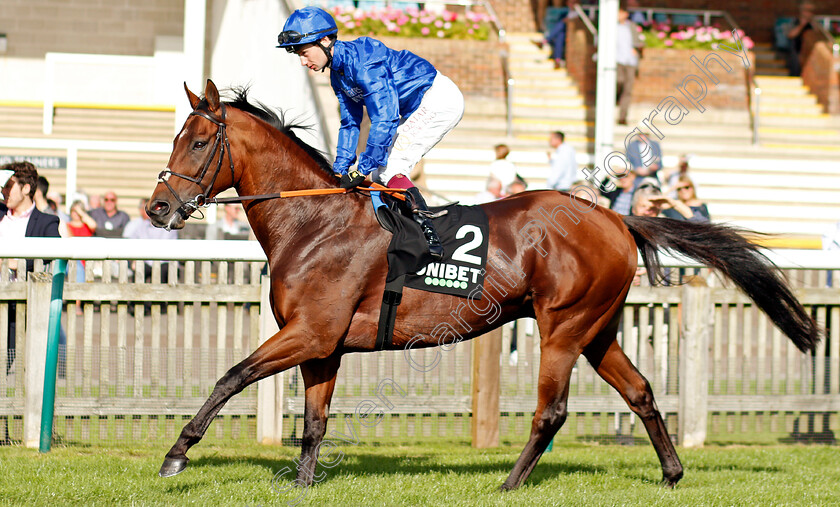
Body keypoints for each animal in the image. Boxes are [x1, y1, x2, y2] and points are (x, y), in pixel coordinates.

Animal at [148, 80, 816, 492]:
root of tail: (614, 216)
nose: (157, 208)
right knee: (642, 391)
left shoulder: (309, 333)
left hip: (563, 324)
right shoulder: (323, 344)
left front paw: (177, 454)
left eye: (199, 141)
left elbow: (230, 377)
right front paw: (304, 483)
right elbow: (313, 422)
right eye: (176, 138)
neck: (313, 221)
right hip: (597, 328)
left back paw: (510, 481)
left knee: (552, 411)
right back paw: (673, 472)